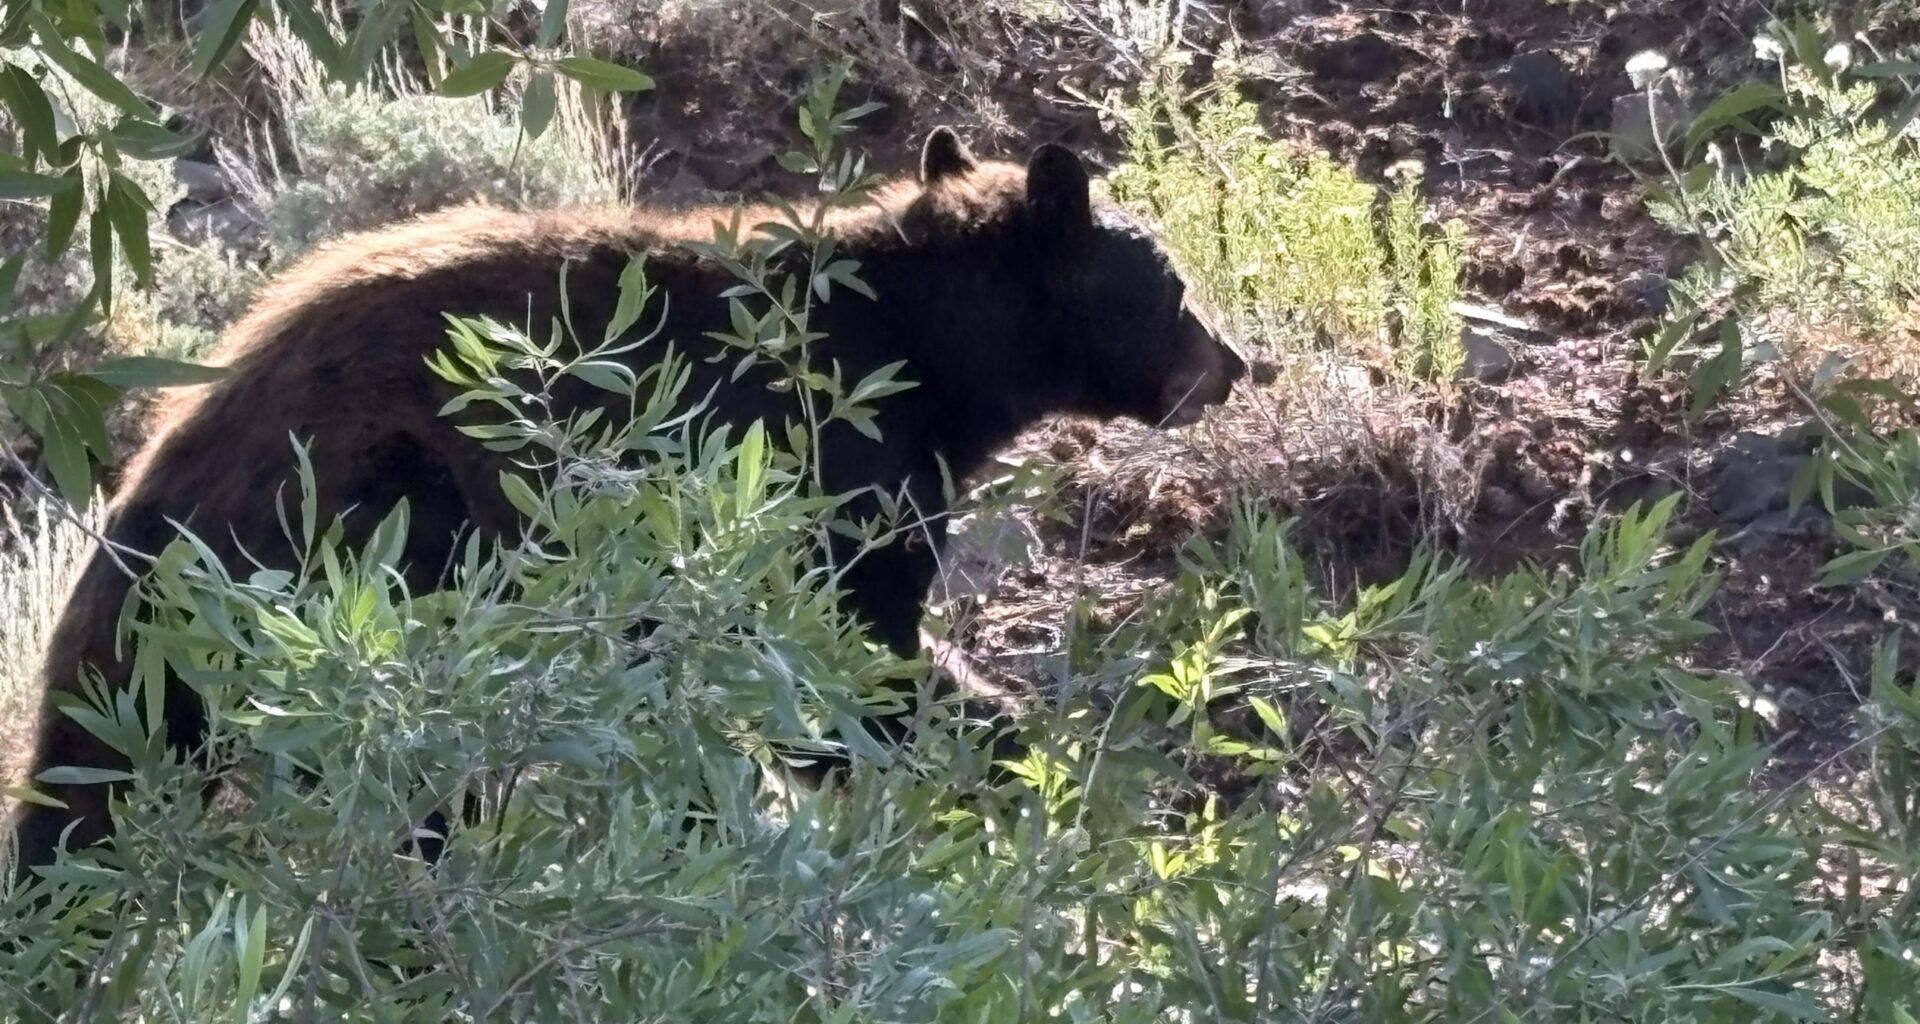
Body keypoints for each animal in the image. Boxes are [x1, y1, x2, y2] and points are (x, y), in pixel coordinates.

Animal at [8, 127, 1246, 880]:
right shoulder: (825, 452)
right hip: (368, 540)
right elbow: (846, 649)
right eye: (1174, 284)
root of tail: (148, 500)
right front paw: (1007, 756)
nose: (1236, 361)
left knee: (89, 779)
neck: (937, 352)